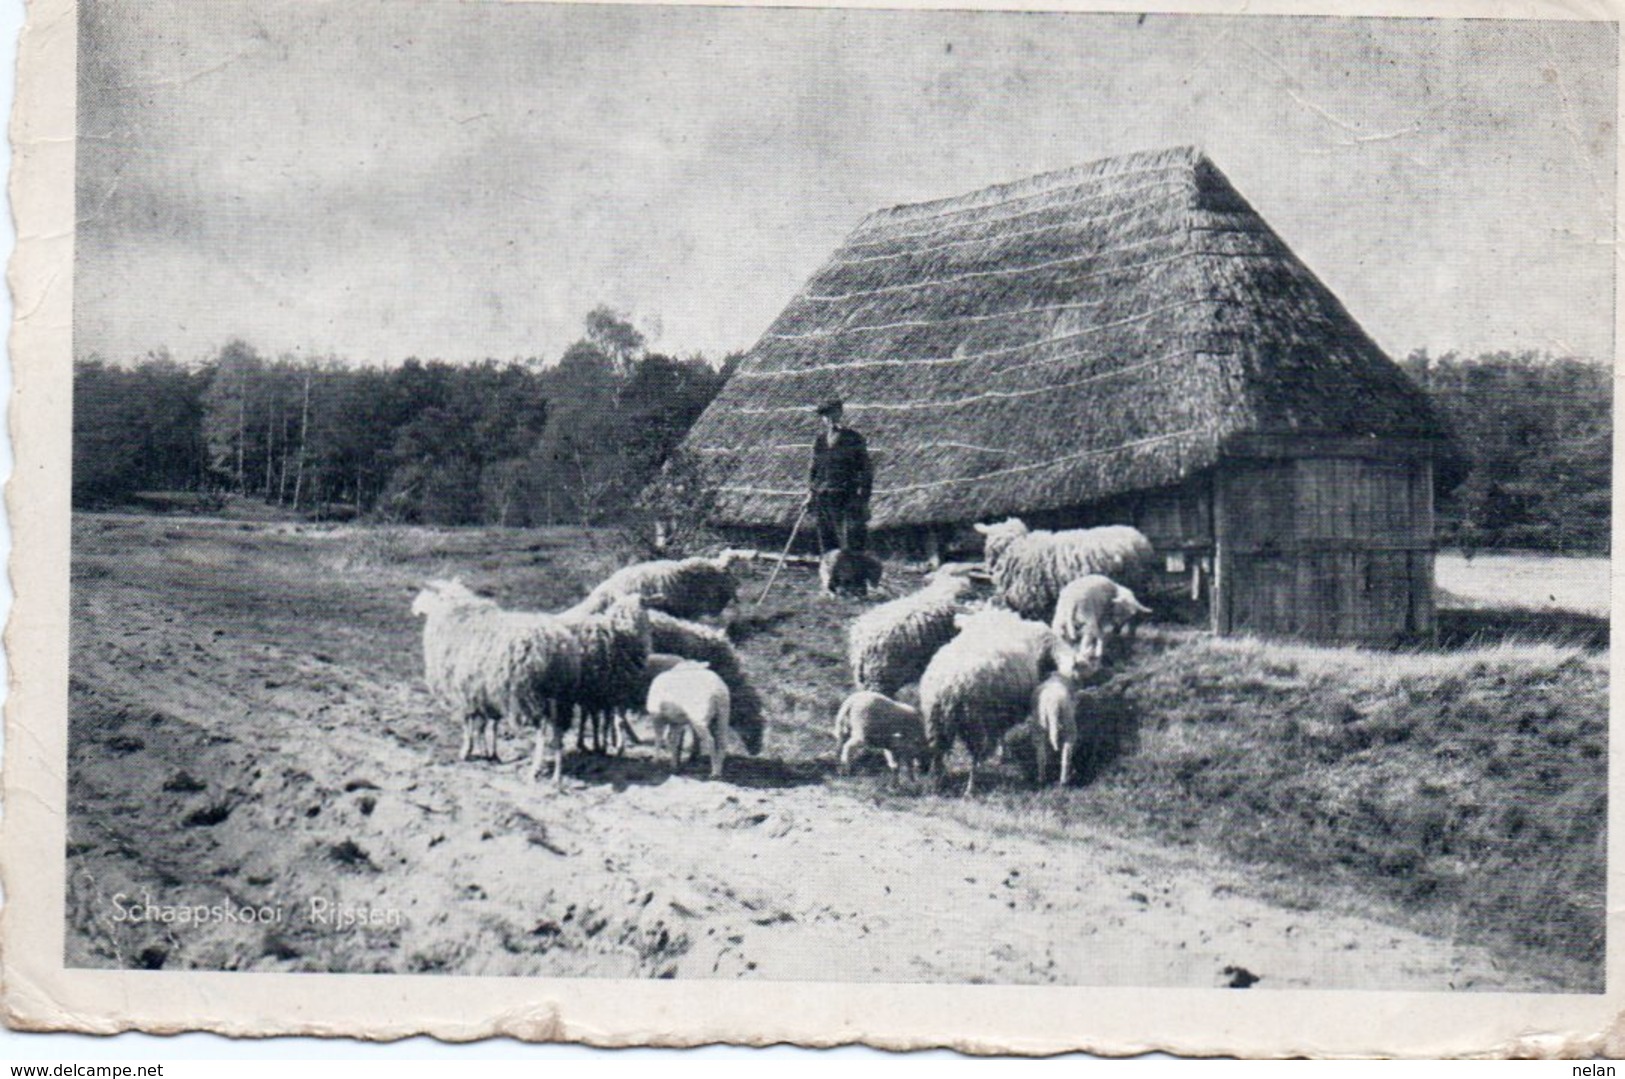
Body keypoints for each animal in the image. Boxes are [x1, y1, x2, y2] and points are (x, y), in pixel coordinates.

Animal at [409, 581, 581, 767]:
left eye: (426, 593)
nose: (413, 608)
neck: (455, 612)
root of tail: (555, 643)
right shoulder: (485, 691)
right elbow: (489, 724)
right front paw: (490, 753)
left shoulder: (463, 691)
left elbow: (469, 723)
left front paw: (466, 750)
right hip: (560, 694)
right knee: (558, 728)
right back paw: (557, 767)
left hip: (529, 694)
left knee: (542, 728)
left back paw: (535, 767)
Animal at [923, 611, 1059, 796]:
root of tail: (951, 684)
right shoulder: (998, 711)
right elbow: (1001, 733)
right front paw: (1002, 754)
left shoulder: (1001, 709)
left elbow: (1001, 732)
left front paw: (1002, 753)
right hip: (975, 719)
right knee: (975, 755)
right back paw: (971, 787)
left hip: (935, 720)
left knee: (937, 752)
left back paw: (937, 783)